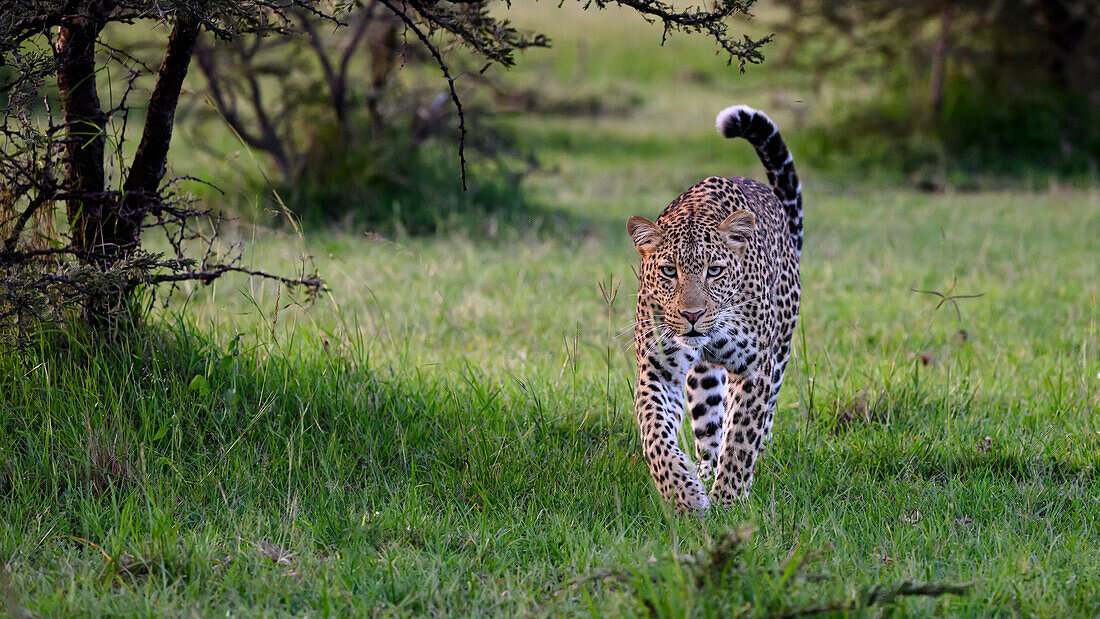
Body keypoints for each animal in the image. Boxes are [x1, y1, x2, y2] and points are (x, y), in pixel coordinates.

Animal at [629, 105, 800, 514]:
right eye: (669, 271)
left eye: (715, 271)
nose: (692, 316)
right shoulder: (659, 369)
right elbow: (654, 432)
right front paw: (686, 494)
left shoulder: (756, 369)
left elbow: (741, 438)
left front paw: (728, 503)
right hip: (702, 378)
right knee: (708, 424)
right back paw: (704, 473)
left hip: (781, 345)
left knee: (761, 420)